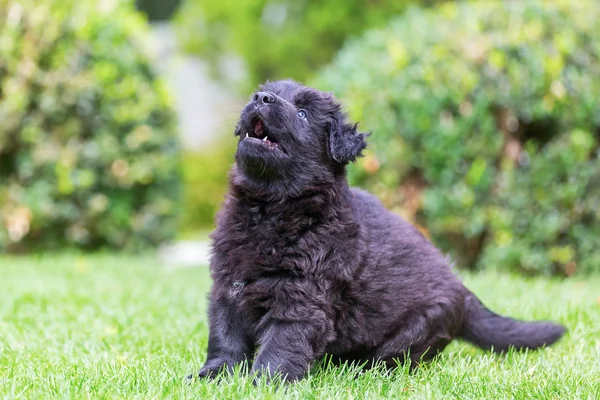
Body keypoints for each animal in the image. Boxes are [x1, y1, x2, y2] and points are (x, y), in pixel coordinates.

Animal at [193, 79, 568, 382]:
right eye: (266, 92)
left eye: (302, 113)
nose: (261, 98)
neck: (270, 208)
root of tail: (463, 291)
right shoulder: (228, 287)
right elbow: (225, 338)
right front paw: (212, 377)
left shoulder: (301, 297)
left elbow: (281, 344)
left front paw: (263, 384)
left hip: (420, 326)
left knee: (395, 358)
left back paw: (361, 372)